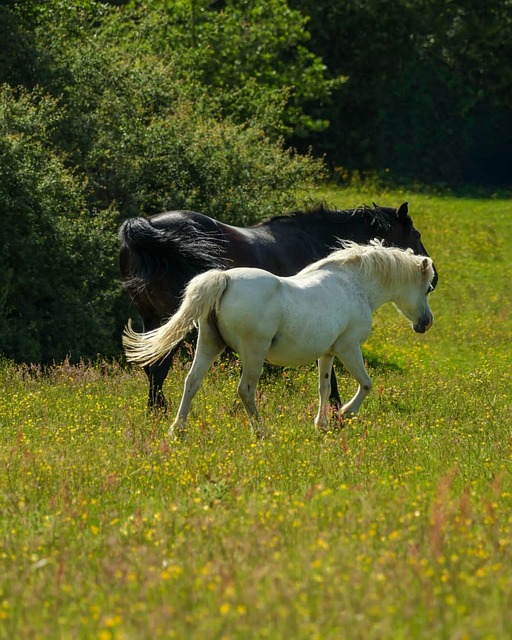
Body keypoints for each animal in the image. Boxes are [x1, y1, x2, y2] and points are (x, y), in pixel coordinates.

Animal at [119, 202, 438, 410]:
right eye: (416, 235)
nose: (434, 278)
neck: (315, 240)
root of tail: (145, 226)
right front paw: (336, 411)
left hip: (155, 320)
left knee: (152, 367)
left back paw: (158, 412)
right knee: (159, 367)